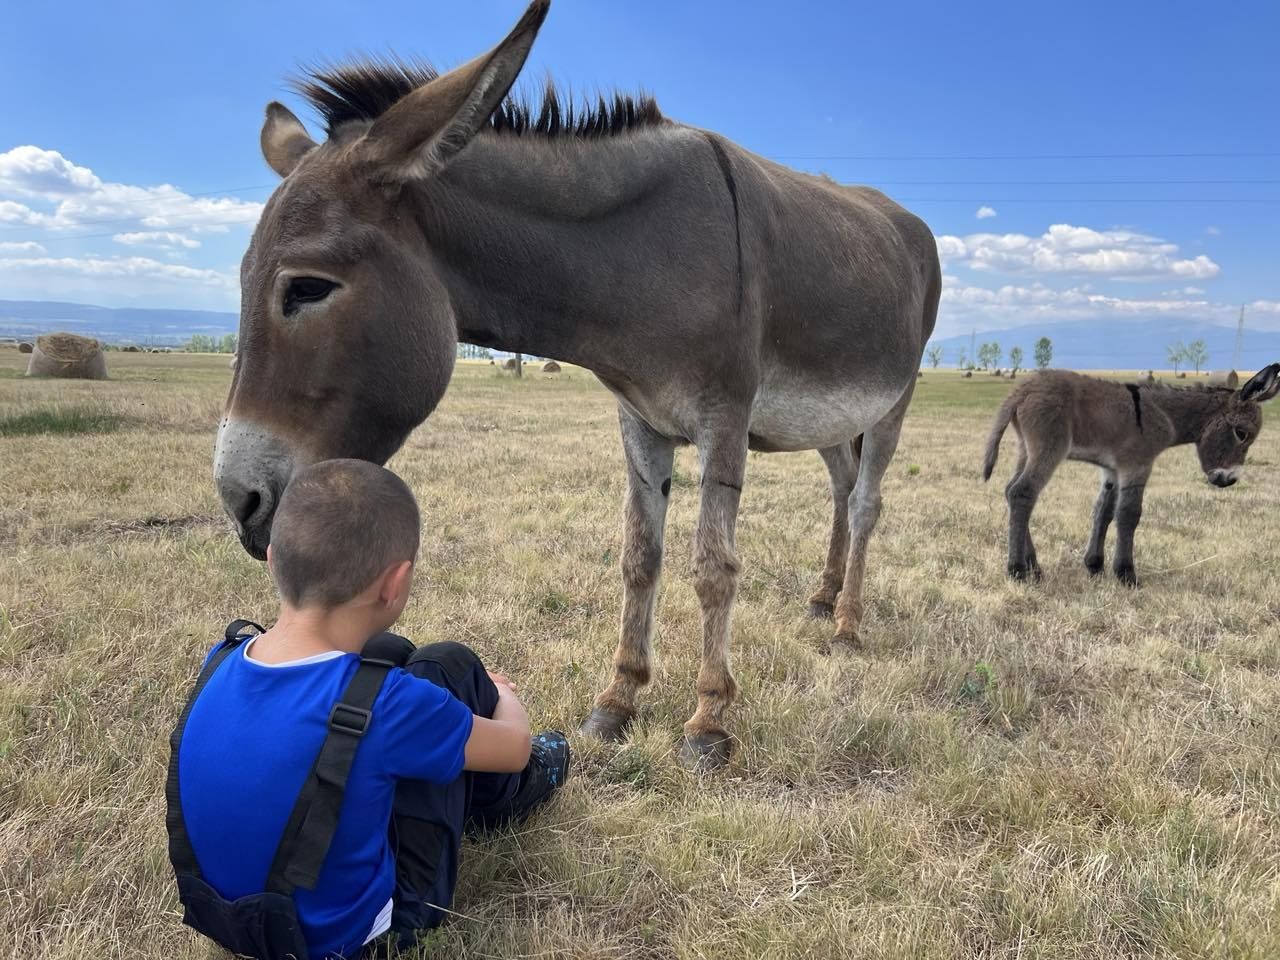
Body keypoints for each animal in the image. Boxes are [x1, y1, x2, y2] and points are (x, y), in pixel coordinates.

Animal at [983, 363, 1274, 583]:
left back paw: (1033, 565)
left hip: (1026, 448)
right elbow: (1129, 515)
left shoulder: (1112, 470)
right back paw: (1018, 570)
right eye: (1241, 433)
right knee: (1023, 493)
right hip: (1049, 448)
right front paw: (1126, 574)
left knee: (1010, 491)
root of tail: (1022, 389)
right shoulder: (1137, 465)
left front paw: (1095, 566)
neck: (1165, 415)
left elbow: (1104, 513)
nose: (1229, 481)